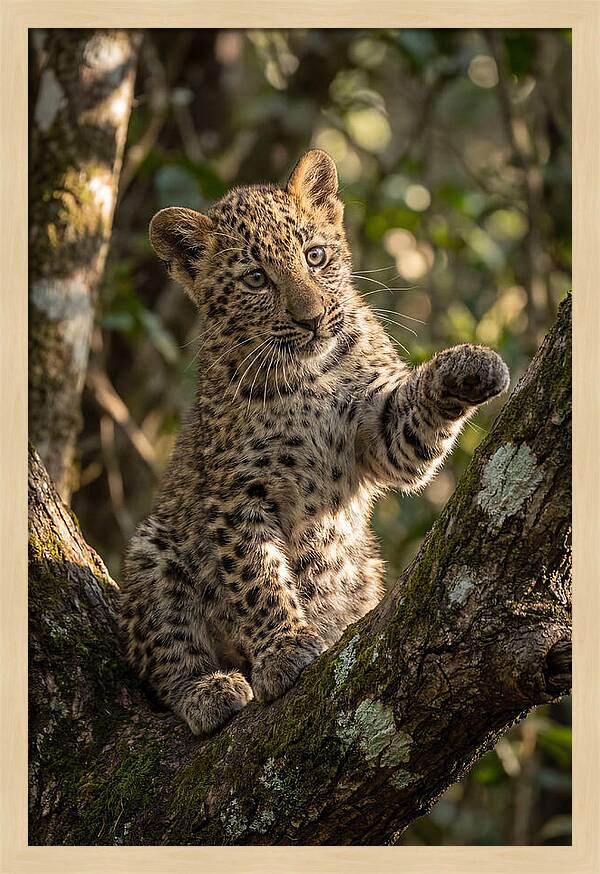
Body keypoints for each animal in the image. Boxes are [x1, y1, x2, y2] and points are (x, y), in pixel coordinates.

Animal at [120, 149, 510, 736]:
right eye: (256, 278)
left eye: (315, 255)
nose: (312, 318)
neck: (310, 376)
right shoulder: (237, 495)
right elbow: (257, 577)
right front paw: (284, 649)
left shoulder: (379, 434)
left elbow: (411, 422)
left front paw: (470, 364)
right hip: (154, 550)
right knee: (163, 657)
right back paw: (209, 690)